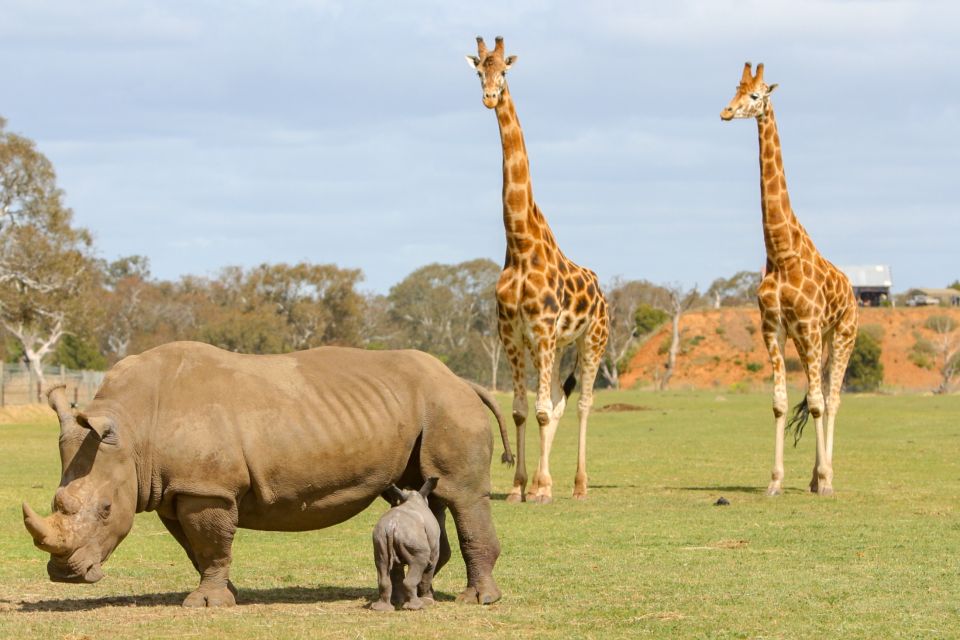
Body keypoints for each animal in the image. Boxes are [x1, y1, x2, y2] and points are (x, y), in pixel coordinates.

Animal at [464, 36, 608, 504]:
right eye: (479, 71)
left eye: (505, 71)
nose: (490, 97)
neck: (520, 244)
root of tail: (603, 293)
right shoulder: (512, 334)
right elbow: (521, 410)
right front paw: (519, 487)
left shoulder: (542, 331)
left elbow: (544, 411)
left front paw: (542, 488)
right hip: (559, 345)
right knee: (557, 400)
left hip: (591, 340)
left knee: (581, 404)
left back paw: (579, 485)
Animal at [720, 63, 864, 496]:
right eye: (735, 89)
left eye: (755, 96)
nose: (726, 112)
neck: (782, 253)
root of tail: (852, 292)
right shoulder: (775, 327)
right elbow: (780, 403)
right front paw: (775, 481)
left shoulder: (807, 325)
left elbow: (817, 403)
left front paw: (826, 480)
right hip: (819, 338)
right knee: (822, 395)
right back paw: (815, 477)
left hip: (842, 333)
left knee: (832, 399)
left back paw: (826, 476)